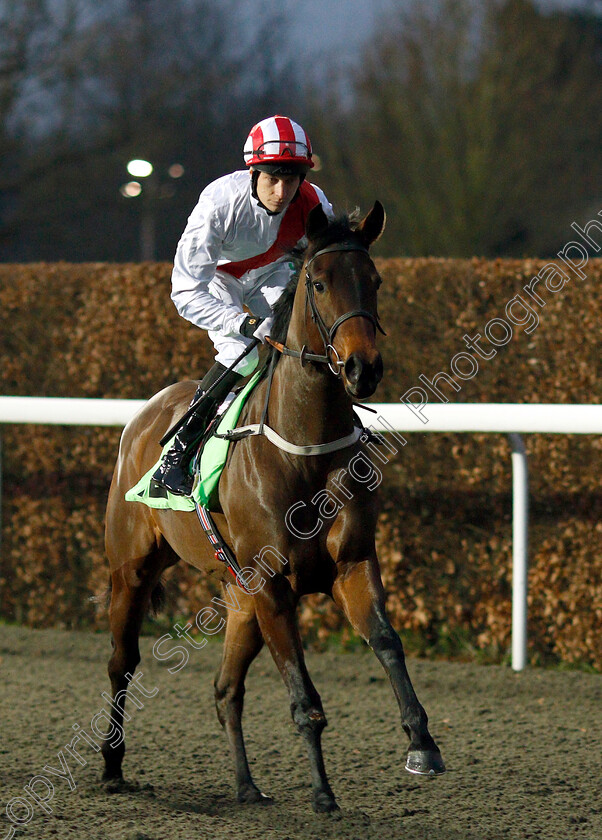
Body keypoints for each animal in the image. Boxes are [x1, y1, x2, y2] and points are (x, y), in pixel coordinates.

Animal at [102, 202, 440, 812]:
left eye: (375, 280)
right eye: (319, 282)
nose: (363, 368)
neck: (302, 445)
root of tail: (145, 414)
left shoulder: (350, 564)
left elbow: (386, 640)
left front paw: (421, 743)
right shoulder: (275, 584)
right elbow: (303, 695)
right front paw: (323, 794)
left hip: (239, 597)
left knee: (224, 690)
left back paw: (245, 785)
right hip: (133, 568)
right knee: (123, 663)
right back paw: (112, 766)